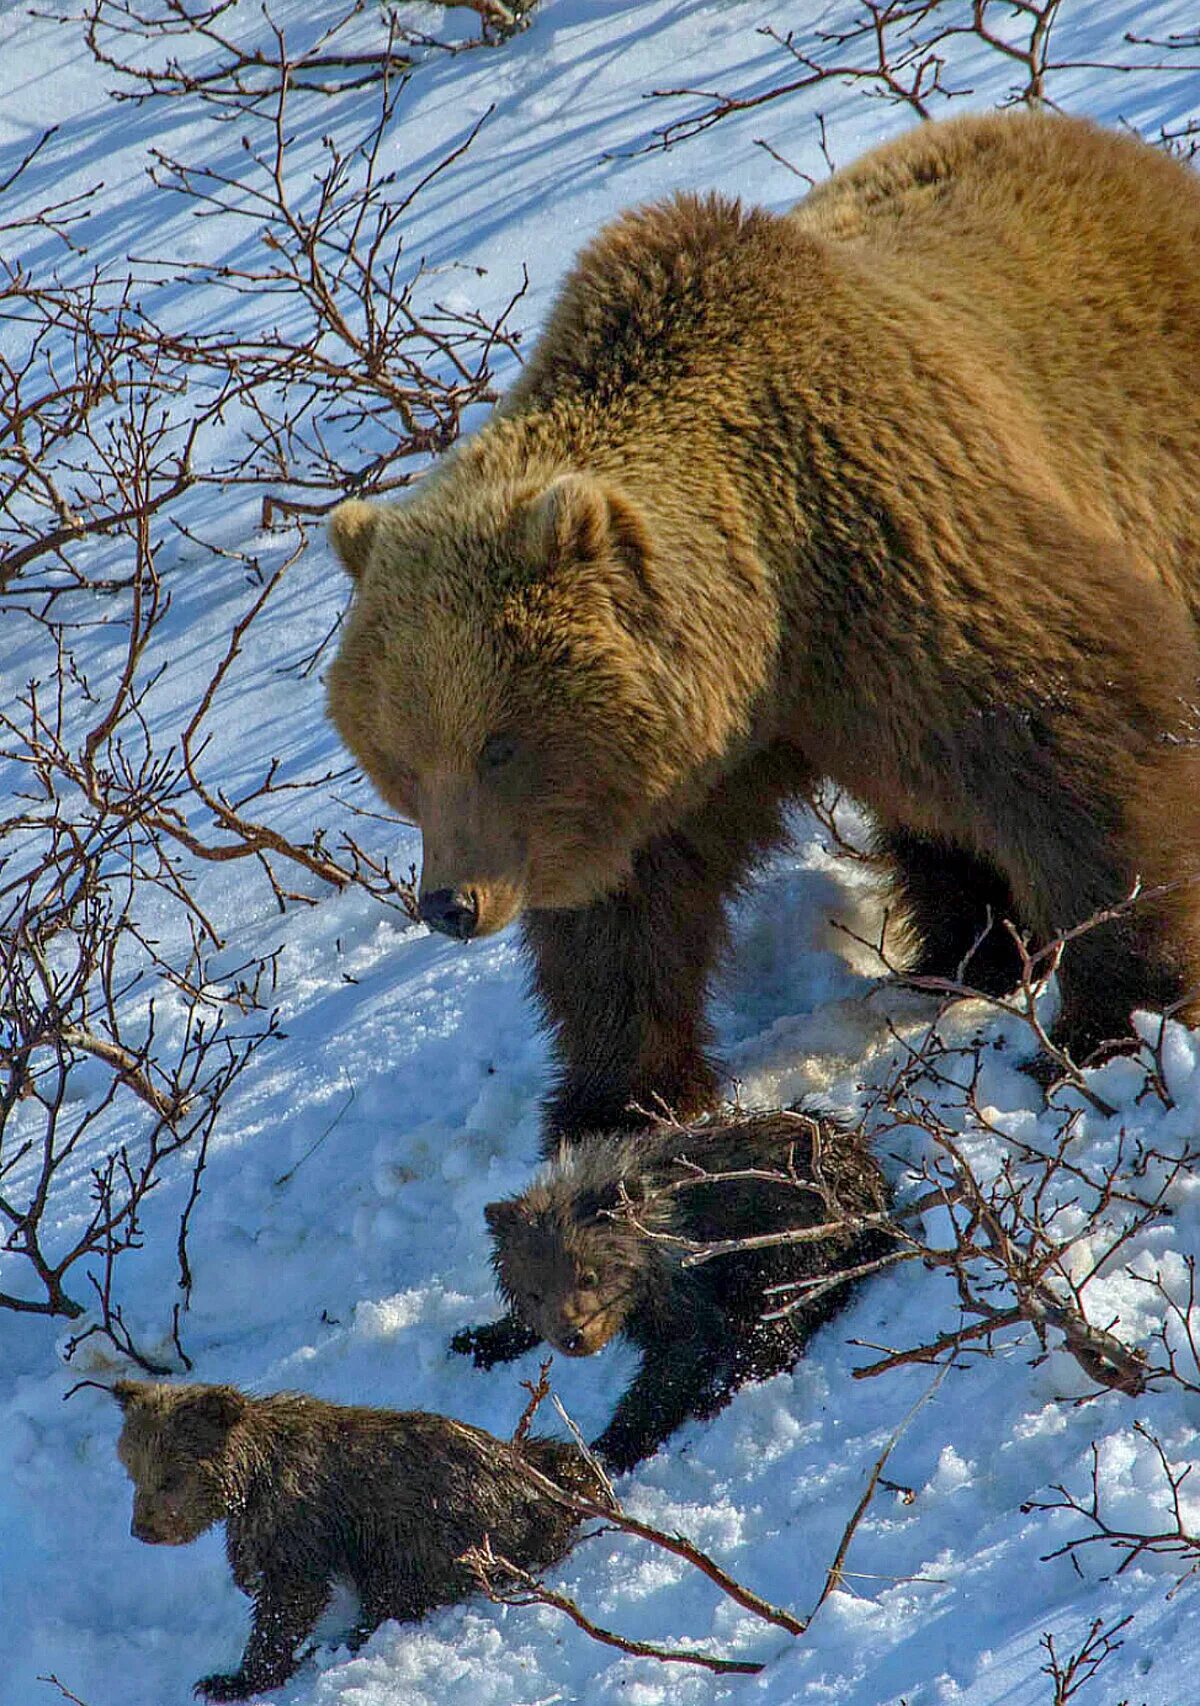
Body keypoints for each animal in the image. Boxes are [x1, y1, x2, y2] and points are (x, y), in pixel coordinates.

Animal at [110, 1378, 600, 1699]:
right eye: (133, 1469)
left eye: (171, 1475)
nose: (143, 1529)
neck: (252, 1479)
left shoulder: (301, 1521)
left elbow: (290, 1598)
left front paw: (236, 1679)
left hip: (440, 1527)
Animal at [324, 113, 1200, 1139]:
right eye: (401, 766)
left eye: (497, 745)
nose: (450, 904)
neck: (767, 617)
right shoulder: (676, 762)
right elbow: (629, 923)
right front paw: (618, 1101)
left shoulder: (894, 542)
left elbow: (1076, 736)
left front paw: (1112, 1017)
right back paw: (966, 947)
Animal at [454, 1105, 894, 1467]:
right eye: (534, 1293)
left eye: (589, 1275)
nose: (574, 1336)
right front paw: (479, 1339)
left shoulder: (688, 1299)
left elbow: (672, 1369)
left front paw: (611, 1445)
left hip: (789, 1252)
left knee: (775, 1331)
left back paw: (717, 1395)